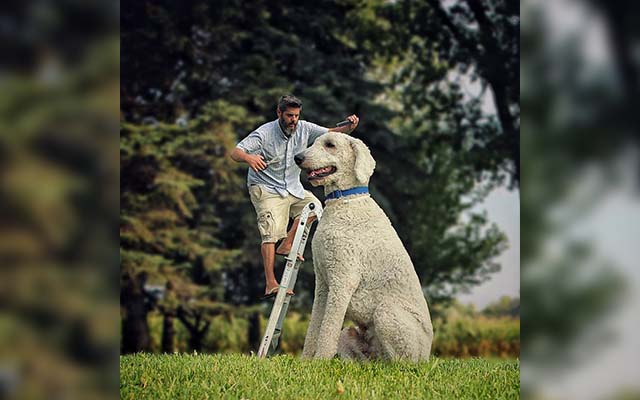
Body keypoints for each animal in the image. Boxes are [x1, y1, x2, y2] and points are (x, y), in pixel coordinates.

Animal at [296, 133, 436, 360]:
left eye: (330, 145)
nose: (297, 158)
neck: (345, 200)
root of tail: (427, 354)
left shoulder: (342, 280)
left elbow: (328, 329)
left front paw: (321, 360)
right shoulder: (323, 283)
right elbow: (315, 326)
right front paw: (306, 361)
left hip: (387, 314)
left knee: (399, 361)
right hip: (350, 334)